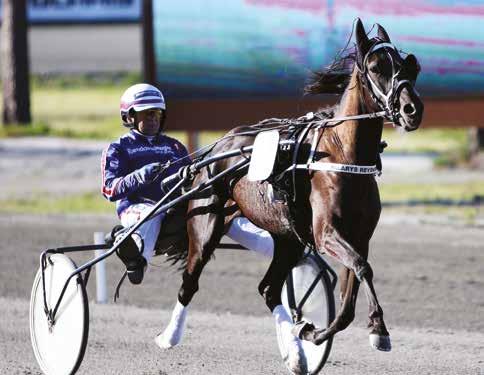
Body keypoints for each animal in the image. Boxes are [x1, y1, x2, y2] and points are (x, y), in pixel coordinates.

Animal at [156, 18, 424, 368]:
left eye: (409, 65)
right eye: (377, 67)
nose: (412, 109)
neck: (340, 154)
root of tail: (220, 145)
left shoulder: (359, 236)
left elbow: (350, 292)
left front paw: (315, 333)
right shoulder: (326, 234)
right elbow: (363, 268)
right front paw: (375, 329)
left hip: (287, 237)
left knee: (269, 289)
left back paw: (296, 354)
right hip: (206, 225)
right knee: (190, 281)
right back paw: (168, 336)